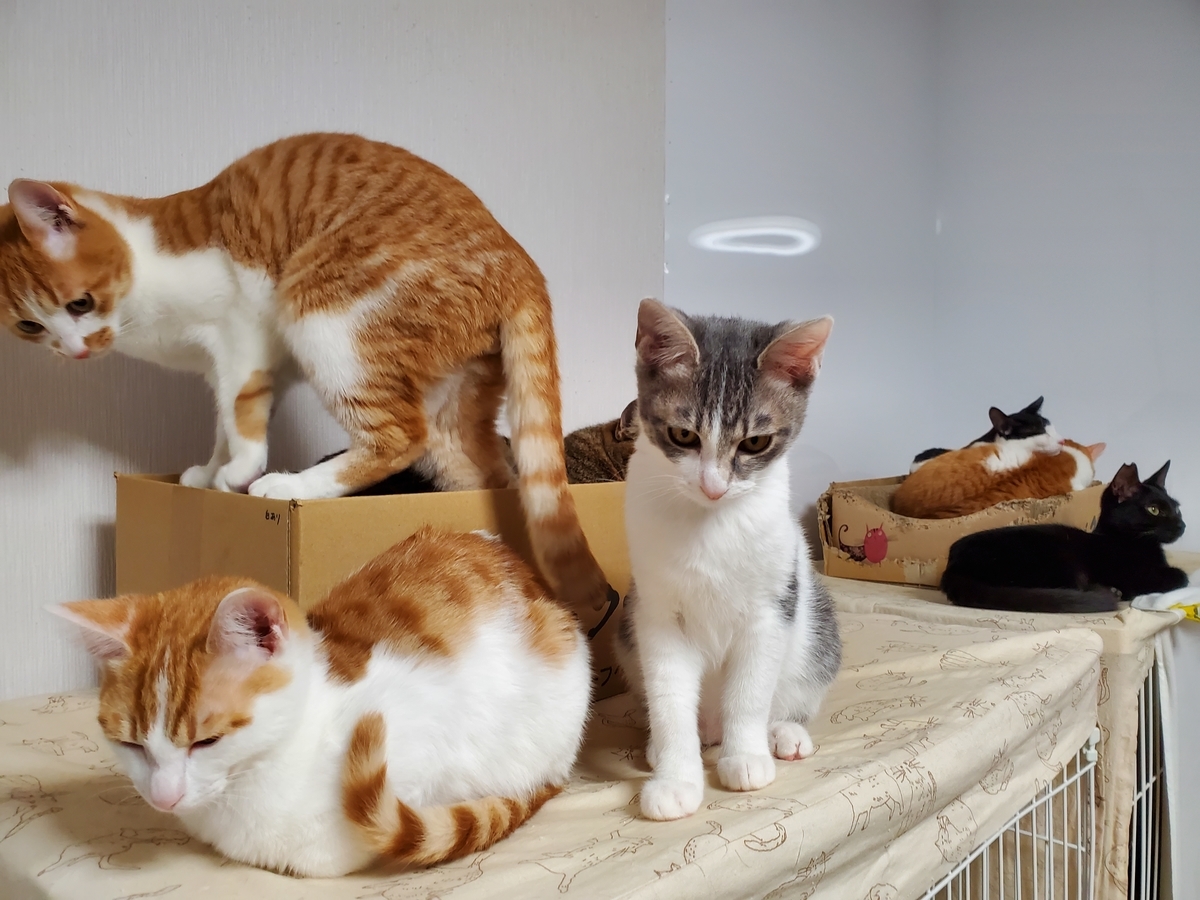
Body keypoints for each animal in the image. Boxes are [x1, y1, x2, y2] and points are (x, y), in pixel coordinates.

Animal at [614, 299, 842, 821]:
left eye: (755, 442)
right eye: (683, 434)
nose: (713, 486)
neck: (709, 523)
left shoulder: (771, 607)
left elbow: (751, 690)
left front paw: (745, 755)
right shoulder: (655, 613)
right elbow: (670, 696)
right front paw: (676, 778)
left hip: (817, 624)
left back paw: (783, 732)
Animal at [942, 461, 1189, 612]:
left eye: (1177, 509)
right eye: (1154, 510)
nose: (1182, 525)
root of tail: (952, 566)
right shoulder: (1132, 576)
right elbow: (1181, 576)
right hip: (1059, 557)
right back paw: (1109, 591)